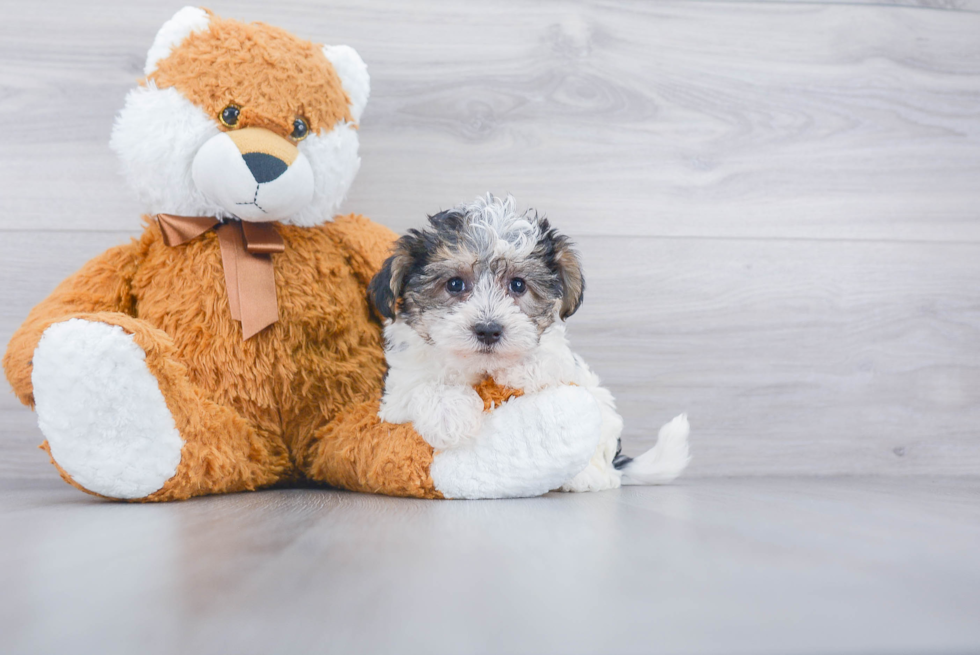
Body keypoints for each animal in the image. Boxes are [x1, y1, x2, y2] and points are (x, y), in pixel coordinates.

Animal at [372, 195, 692, 492]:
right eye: (454, 284)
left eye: (518, 285)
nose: (488, 330)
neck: (480, 367)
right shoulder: (395, 396)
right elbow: (420, 387)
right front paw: (450, 414)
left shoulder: (566, 362)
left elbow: (552, 359)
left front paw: (522, 367)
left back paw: (587, 476)